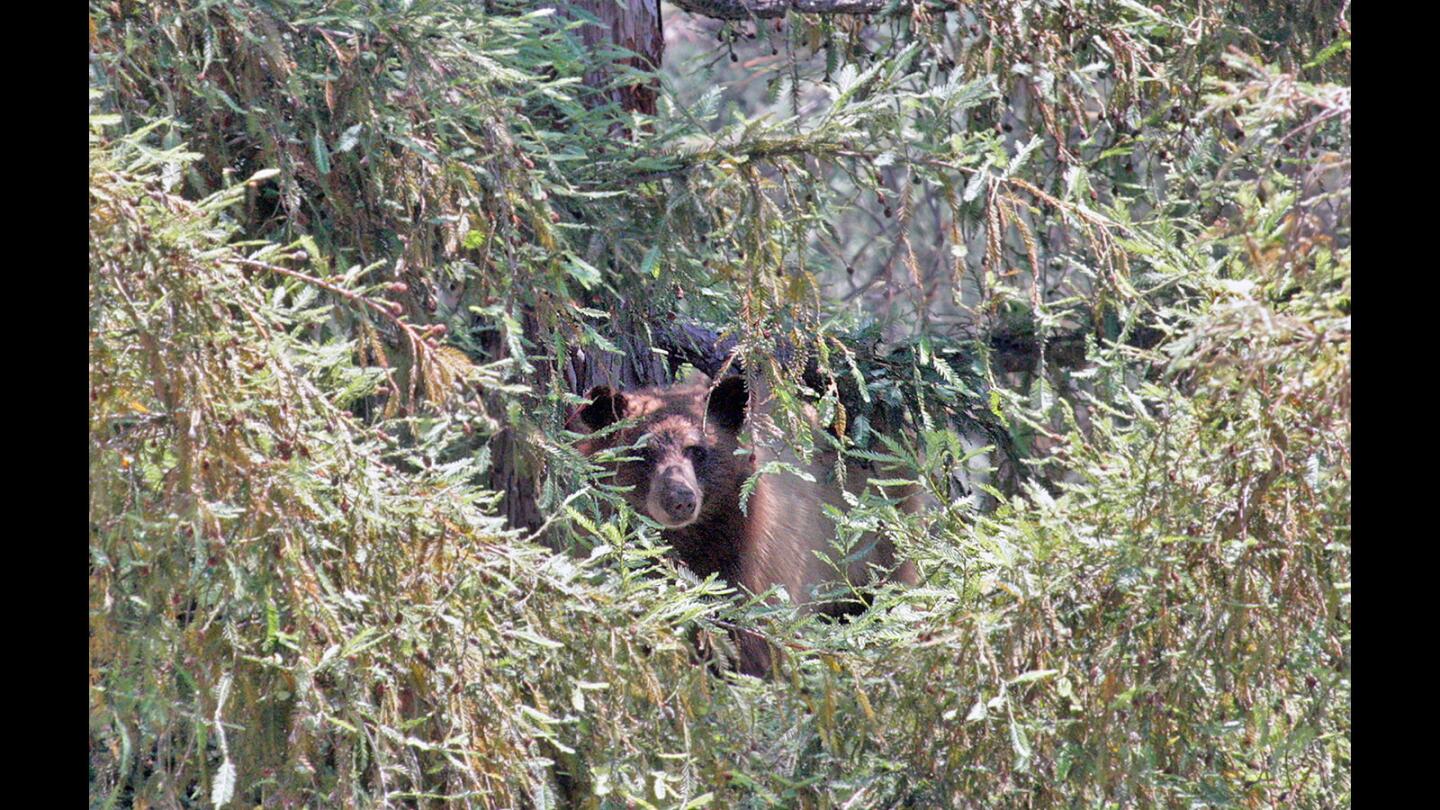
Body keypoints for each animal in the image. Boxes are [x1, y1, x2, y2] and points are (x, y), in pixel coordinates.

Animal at [570, 374, 915, 674]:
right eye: (641, 451)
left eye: (697, 451)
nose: (681, 499)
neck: (690, 542)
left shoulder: (758, 567)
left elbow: (755, 647)